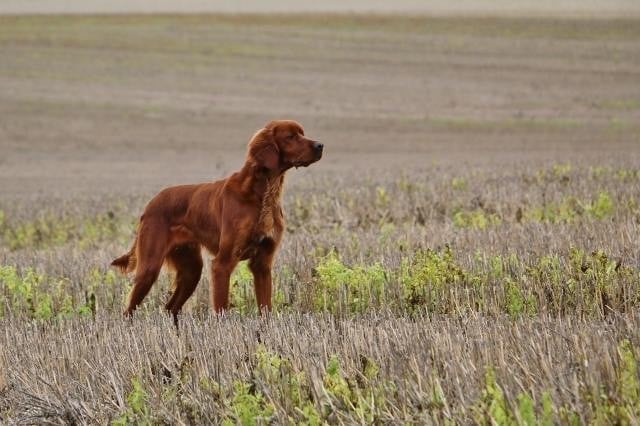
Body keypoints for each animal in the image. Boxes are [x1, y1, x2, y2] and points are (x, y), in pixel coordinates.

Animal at [112, 120, 322, 316]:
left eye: (302, 133)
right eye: (290, 136)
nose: (320, 145)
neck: (263, 194)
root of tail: (150, 205)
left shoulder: (262, 264)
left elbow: (266, 309)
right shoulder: (222, 264)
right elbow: (222, 309)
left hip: (191, 270)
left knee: (171, 308)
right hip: (149, 268)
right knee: (129, 310)